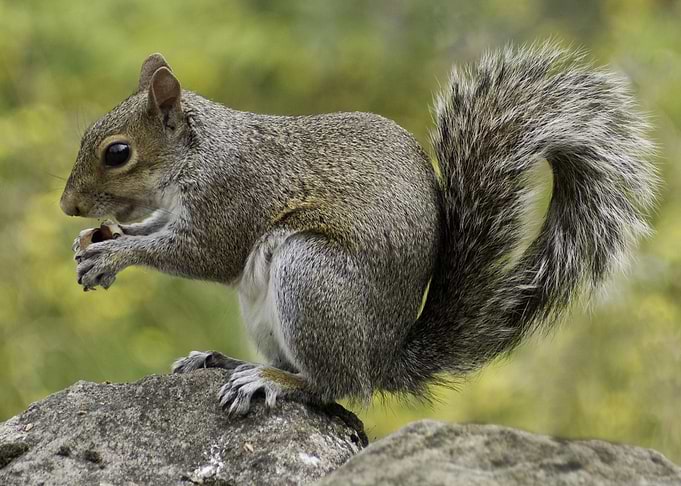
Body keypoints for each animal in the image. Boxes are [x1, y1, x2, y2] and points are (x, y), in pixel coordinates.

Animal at [60, 44, 657, 415]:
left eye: (117, 153)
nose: (67, 206)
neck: (201, 152)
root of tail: (381, 359)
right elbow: (159, 227)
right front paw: (98, 240)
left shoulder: (233, 197)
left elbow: (202, 253)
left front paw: (113, 255)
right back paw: (226, 361)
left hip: (311, 276)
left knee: (332, 387)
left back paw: (270, 381)